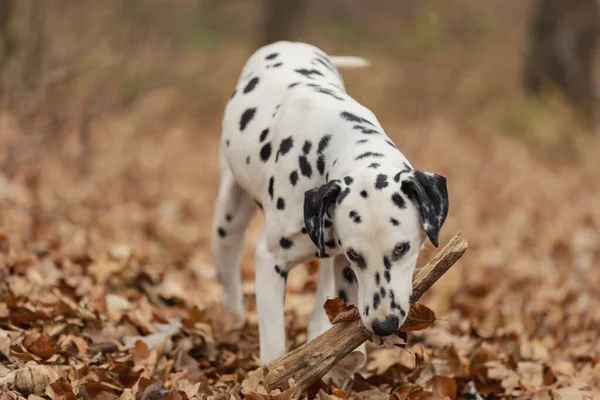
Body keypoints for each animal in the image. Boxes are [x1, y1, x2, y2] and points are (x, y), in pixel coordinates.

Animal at [212, 42, 450, 364]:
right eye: (355, 254)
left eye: (402, 248)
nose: (384, 324)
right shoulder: (271, 261)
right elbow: (274, 348)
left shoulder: (343, 268)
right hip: (226, 220)